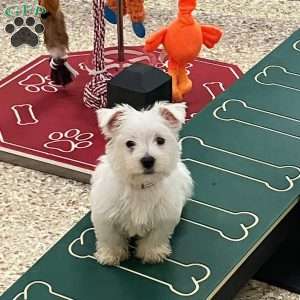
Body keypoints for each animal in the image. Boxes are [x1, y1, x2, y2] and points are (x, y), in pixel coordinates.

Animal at [91, 101, 192, 264]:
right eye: (129, 143)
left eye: (160, 140)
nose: (148, 160)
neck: (141, 186)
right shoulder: (105, 217)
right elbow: (110, 238)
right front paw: (111, 255)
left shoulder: (164, 218)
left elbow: (156, 237)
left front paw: (152, 253)